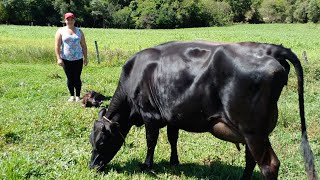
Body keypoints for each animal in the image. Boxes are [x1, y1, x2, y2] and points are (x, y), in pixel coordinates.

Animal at [88, 41, 318, 179]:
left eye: (101, 142)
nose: (92, 167)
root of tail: (269, 49)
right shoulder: (172, 114)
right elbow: (173, 138)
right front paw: (174, 163)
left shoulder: (149, 114)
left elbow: (151, 141)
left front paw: (147, 166)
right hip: (253, 132)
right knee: (251, 160)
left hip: (253, 131)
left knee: (269, 165)